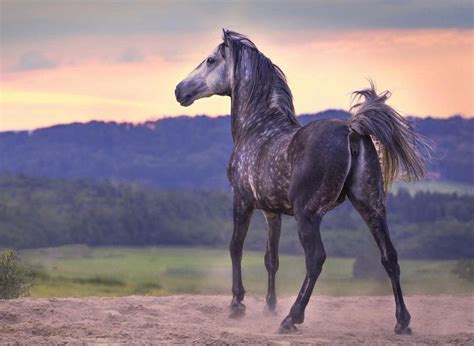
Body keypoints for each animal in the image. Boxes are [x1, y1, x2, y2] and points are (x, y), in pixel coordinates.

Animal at [175, 30, 430, 336]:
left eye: (211, 59)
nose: (179, 91)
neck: (258, 128)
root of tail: (352, 131)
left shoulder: (243, 200)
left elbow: (235, 246)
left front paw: (238, 305)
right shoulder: (271, 212)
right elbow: (271, 259)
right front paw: (269, 307)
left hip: (308, 214)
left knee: (316, 259)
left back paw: (292, 318)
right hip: (372, 206)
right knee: (389, 256)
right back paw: (402, 322)